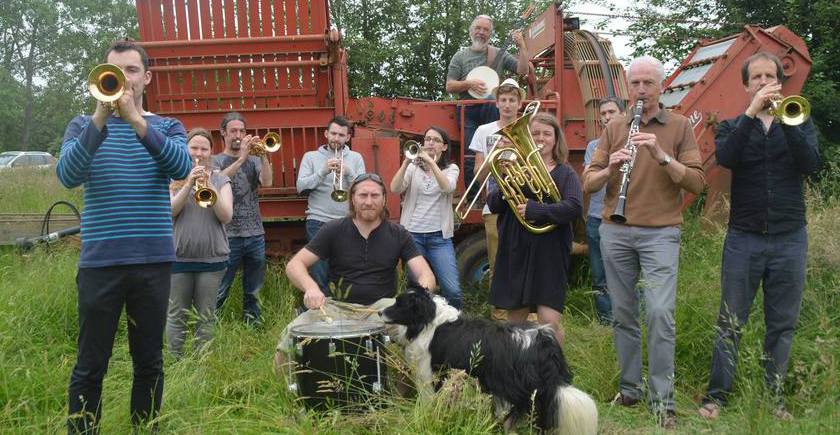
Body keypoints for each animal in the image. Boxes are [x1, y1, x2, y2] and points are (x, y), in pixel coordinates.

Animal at [380, 290, 596, 435]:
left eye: (399, 304)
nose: (379, 312)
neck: (429, 320)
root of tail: (543, 343)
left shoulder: (431, 372)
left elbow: (429, 400)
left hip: (517, 388)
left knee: (521, 412)